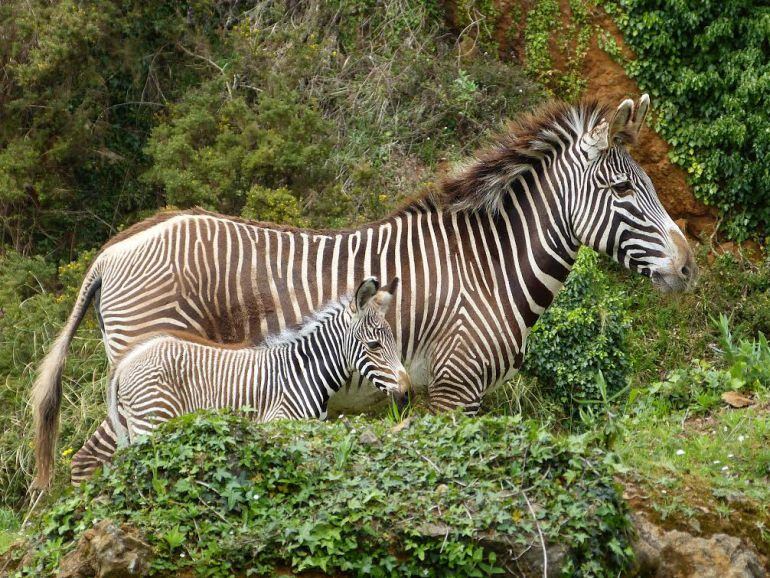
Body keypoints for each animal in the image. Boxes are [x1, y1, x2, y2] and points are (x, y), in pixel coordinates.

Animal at [70, 276, 408, 480]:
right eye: (374, 345)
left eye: (394, 341)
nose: (406, 393)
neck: (303, 373)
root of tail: (127, 361)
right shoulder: (278, 425)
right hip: (151, 422)